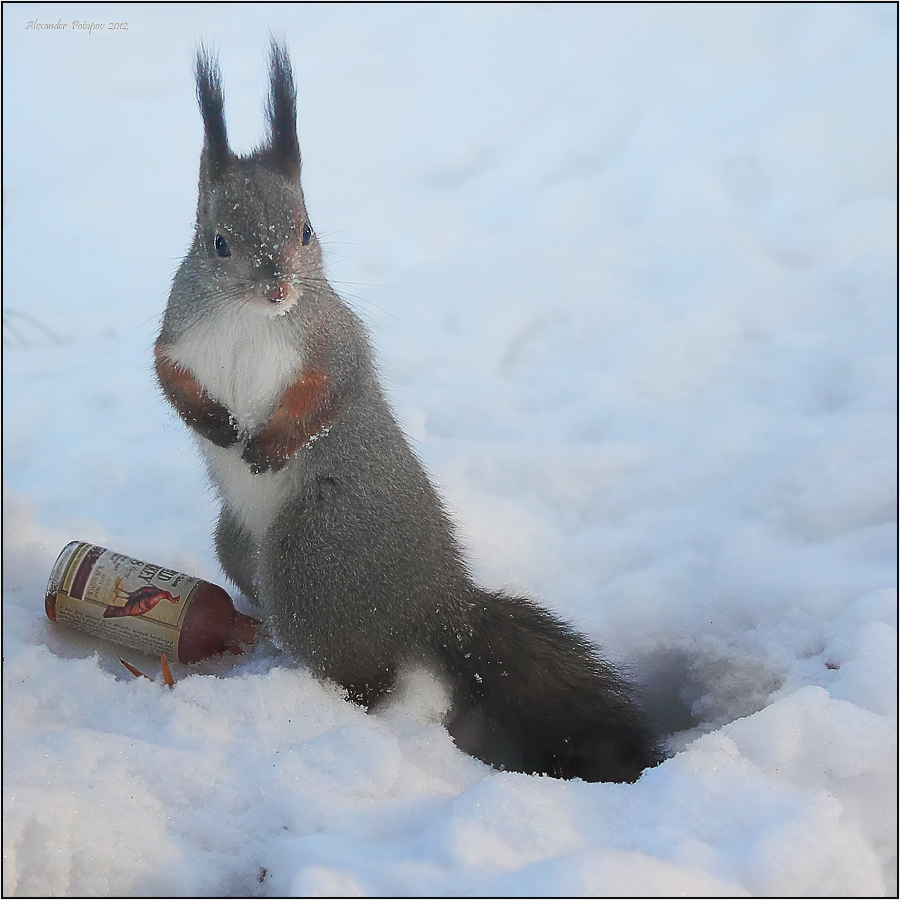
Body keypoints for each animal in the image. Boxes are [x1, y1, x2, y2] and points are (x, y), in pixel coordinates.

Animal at [155, 42, 660, 780]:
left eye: (306, 230)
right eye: (217, 242)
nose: (278, 286)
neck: (250, 318)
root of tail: (439, 600)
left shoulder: (332, 340)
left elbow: (331, 393)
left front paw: (272, 444)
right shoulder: (177, 337)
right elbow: (170, 381)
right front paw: (213, 424)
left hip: (312, 557)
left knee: (369, 677)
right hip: (243, 548)